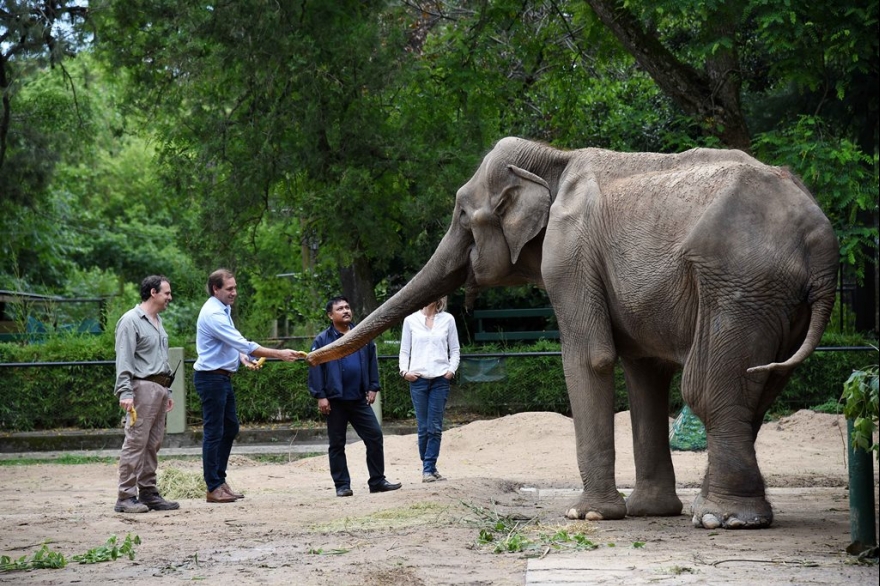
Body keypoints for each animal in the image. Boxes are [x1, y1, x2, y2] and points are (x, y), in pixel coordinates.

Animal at [310, 137, 840, 528]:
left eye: (462, 213)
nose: (304, 359)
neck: (555, 159)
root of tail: (821, 241)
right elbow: (644, 372)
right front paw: (647, 512)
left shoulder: (568, 255)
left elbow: (591, 359)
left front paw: (587, 515)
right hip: (774, 302)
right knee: (759, 387)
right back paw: (718, 512)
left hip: (738, 287)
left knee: (708, 387)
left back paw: (721, 519)